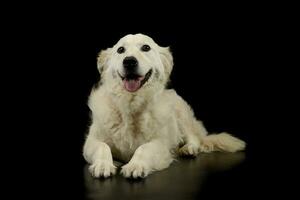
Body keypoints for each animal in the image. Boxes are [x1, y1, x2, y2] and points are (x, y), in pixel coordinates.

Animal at [82, 33, 246, 178]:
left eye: (146, 47)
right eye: (120, 50)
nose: (129, 61)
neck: (131, 104)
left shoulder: (161, 144)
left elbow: (144, 148)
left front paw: (135, 165)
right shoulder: (91, 141)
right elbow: (102, 147)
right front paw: (103, 165)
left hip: (181, 113)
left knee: (194, 138)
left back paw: (188, 149)